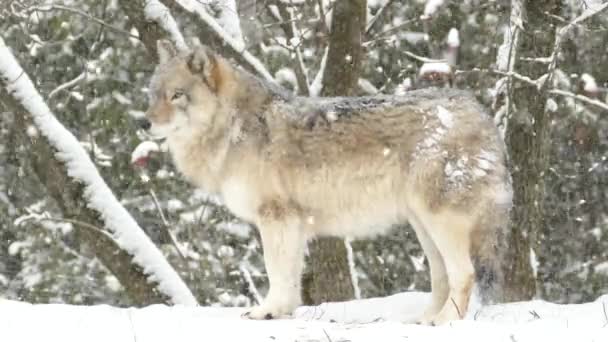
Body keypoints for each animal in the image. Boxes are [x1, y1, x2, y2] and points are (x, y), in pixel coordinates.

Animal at [142, 40, 512, 326]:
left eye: (177, 96)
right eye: (154, 94)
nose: (145, 124)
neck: (234, 127)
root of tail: (480, 114)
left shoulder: (276, 218)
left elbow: (275, 272)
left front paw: (266, 311)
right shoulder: (291, 225)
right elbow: (290, 277)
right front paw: (281, 312)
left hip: (440, 224)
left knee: (464, 274)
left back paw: (445, 322)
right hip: (423, 227)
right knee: (441, 277)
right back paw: (424, 320)